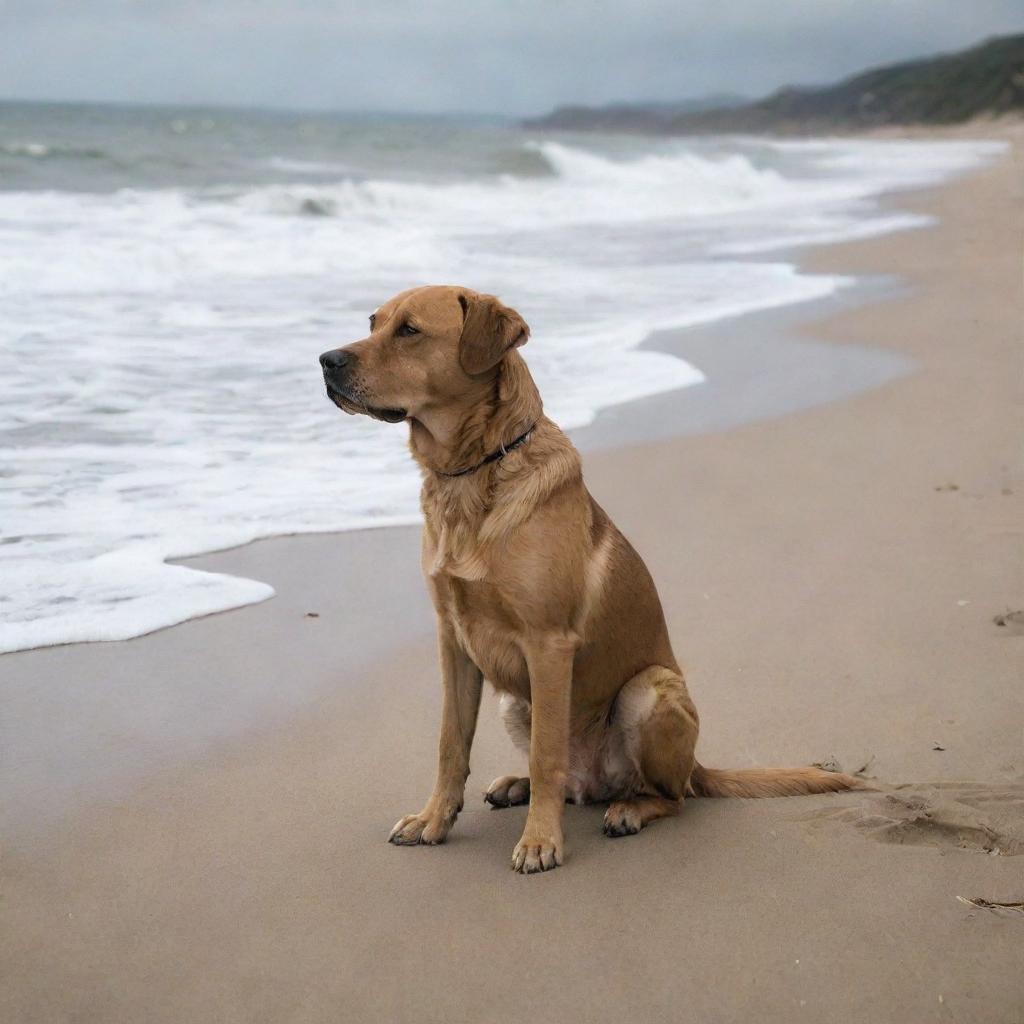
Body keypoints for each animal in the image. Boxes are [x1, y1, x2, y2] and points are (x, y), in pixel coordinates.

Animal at [319, 286, 864, 872]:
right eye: (372, 323)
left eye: (410, 331)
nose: (325, 360)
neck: (475, 473)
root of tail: (696, 765)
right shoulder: (454, 642)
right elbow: (450, 743)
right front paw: (433, 820)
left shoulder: (548, 644)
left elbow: (547, 754)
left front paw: (539, 841)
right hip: (517, 702)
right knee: (573, 782)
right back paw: (517, 785)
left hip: (648, 692)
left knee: (668, 796)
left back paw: (627, 809)